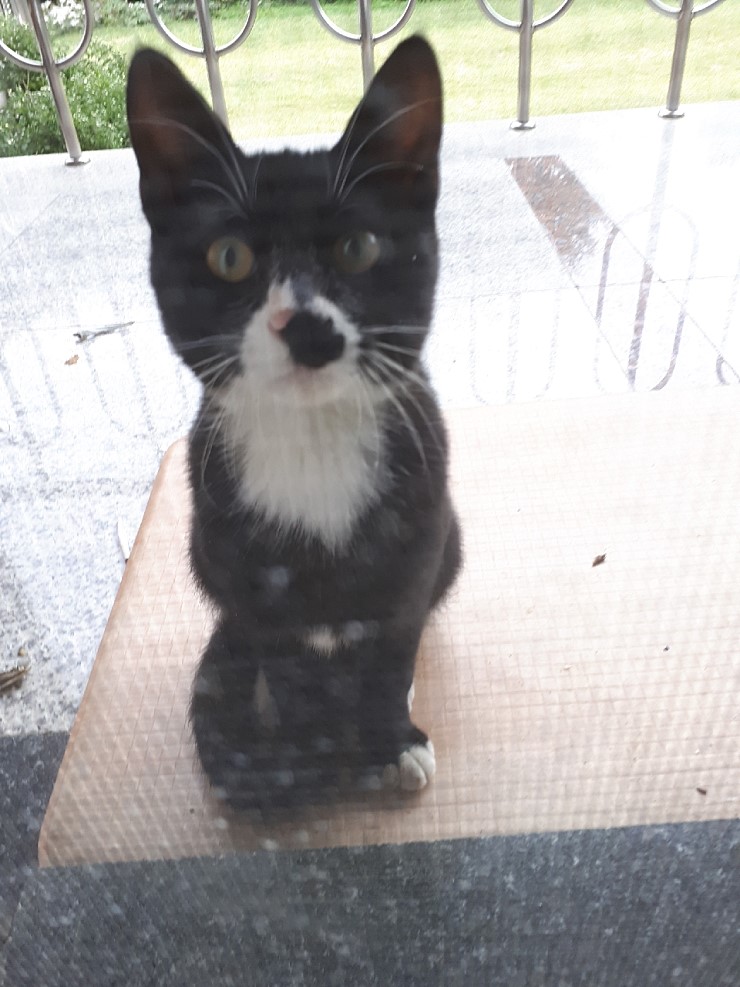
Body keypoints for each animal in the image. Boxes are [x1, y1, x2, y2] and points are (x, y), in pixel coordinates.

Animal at [126, 35, 461, 814]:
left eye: (359, 248)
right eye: (229, 257)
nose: (306, 325)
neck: (312, 440)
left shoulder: (418, 538)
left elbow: (393, 646)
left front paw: (390, 739)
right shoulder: (245, 573)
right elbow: (282, 661)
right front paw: (304, 757)